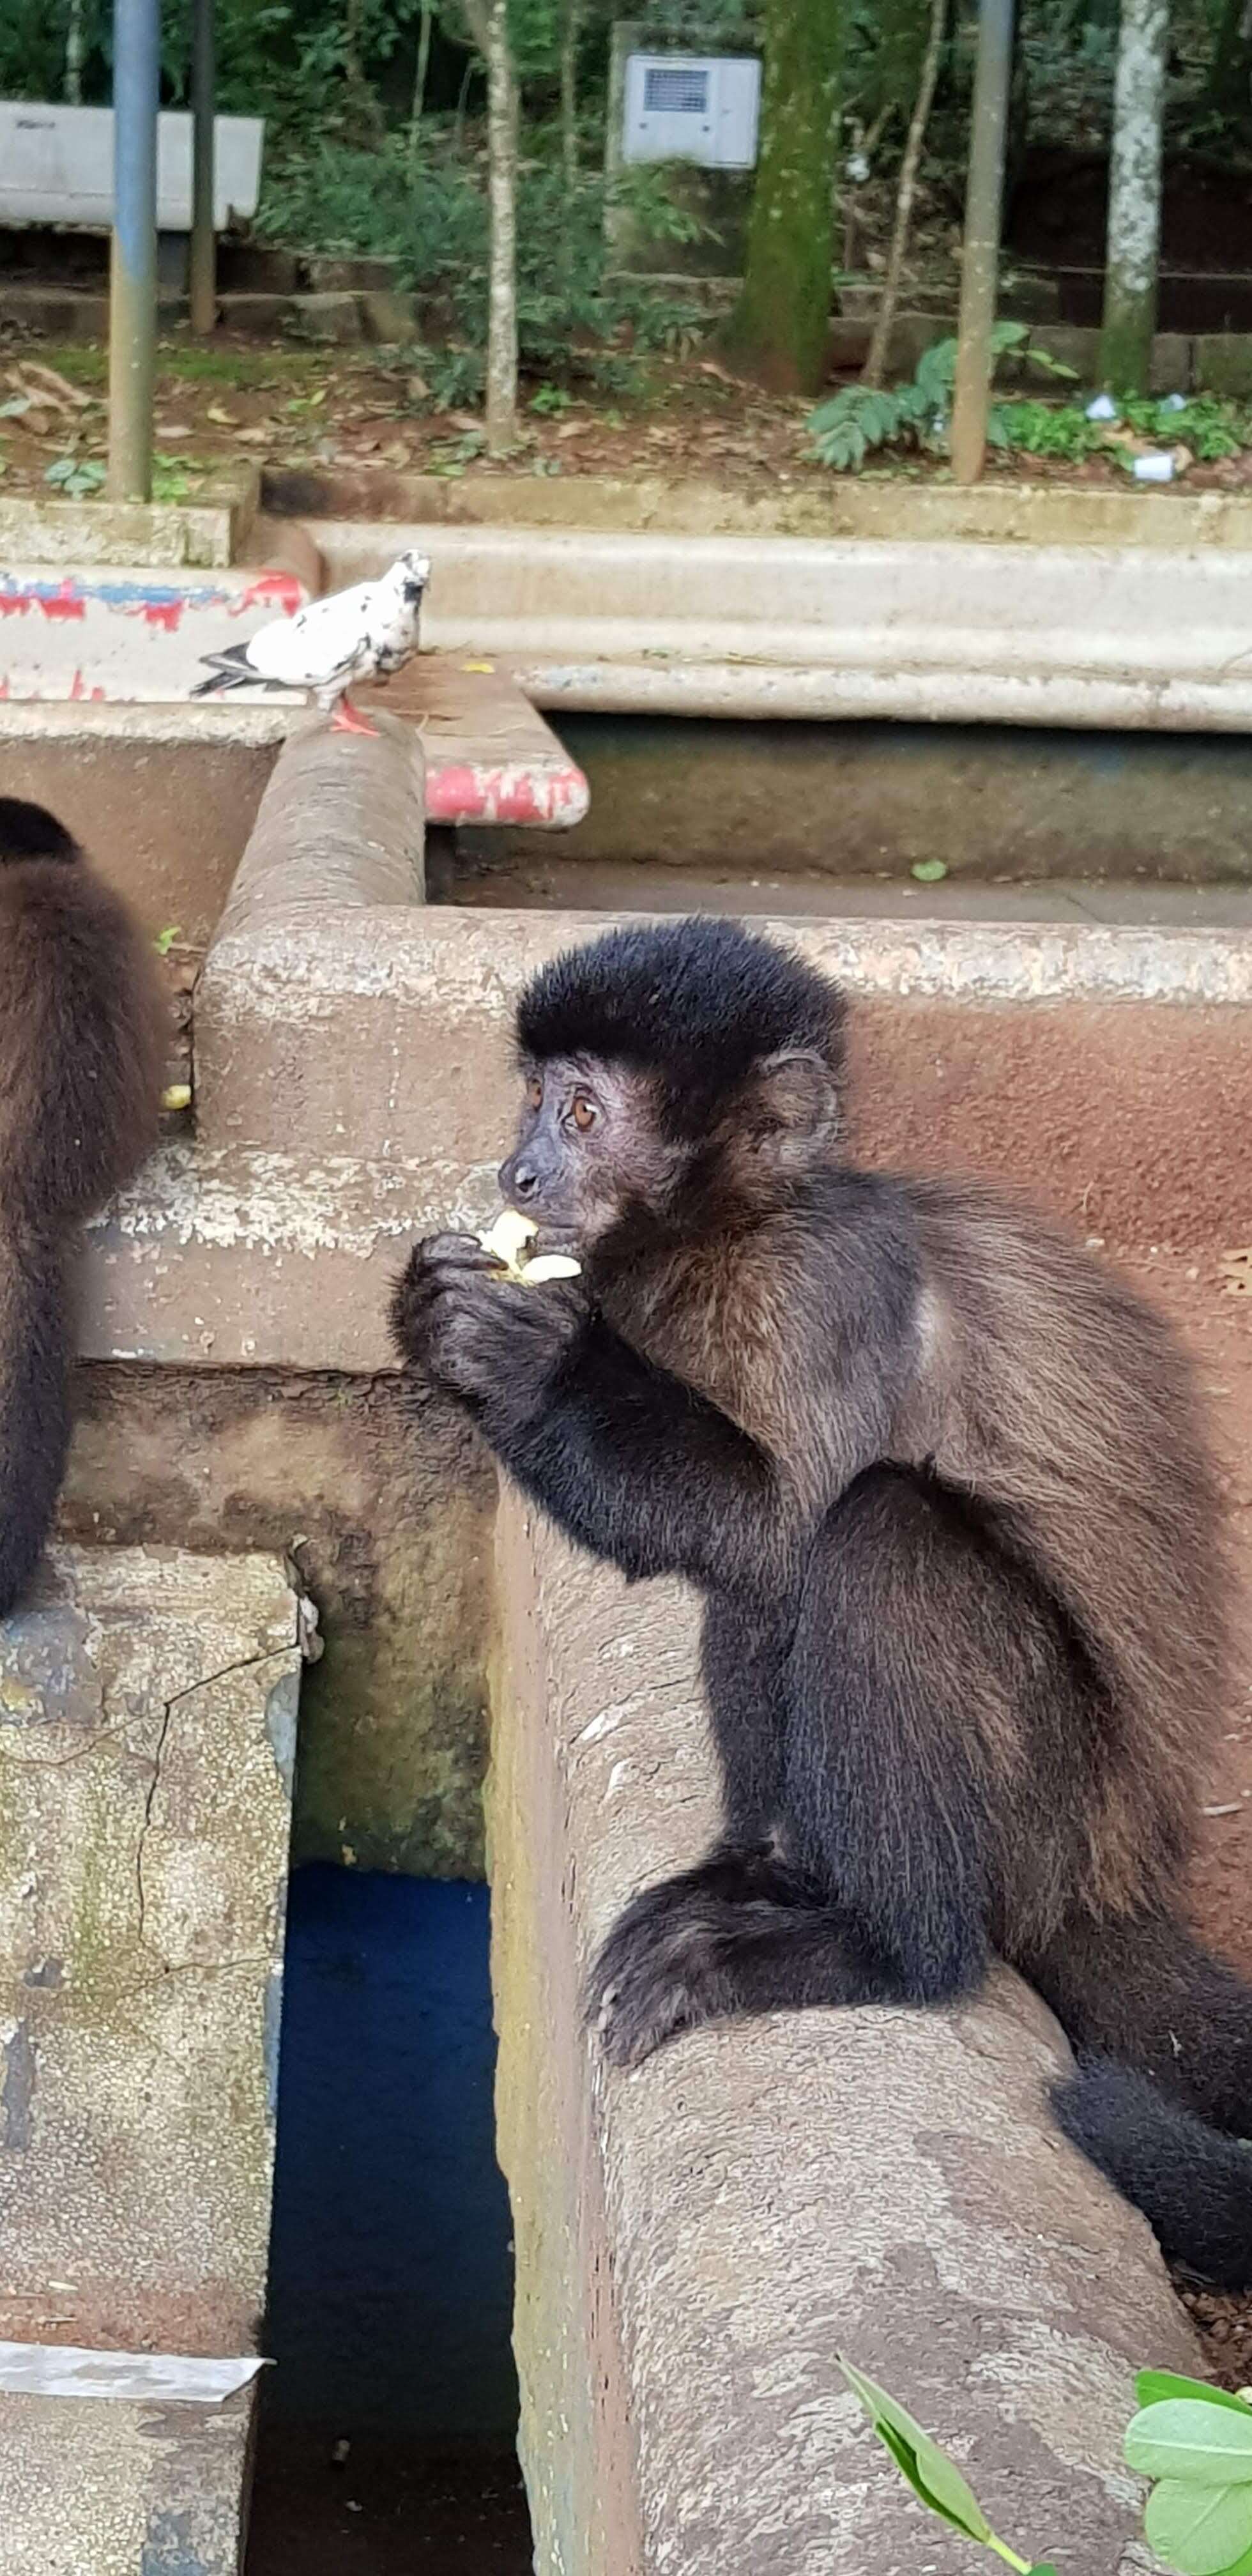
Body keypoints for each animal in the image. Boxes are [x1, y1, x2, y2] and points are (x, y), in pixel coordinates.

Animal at [397, 917, 1252, 2287]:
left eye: (581, 1112)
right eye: (532, 1097)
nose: (517, 1167)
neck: (733, 1228)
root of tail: (1109, 1871)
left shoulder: (822, 1291)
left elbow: (783, 1521)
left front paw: (525, 1351)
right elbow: (741, 1555)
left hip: (1044, 1806)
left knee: (871, 1534)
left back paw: (885, 1948)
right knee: (762, 1592)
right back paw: (772, 1873)